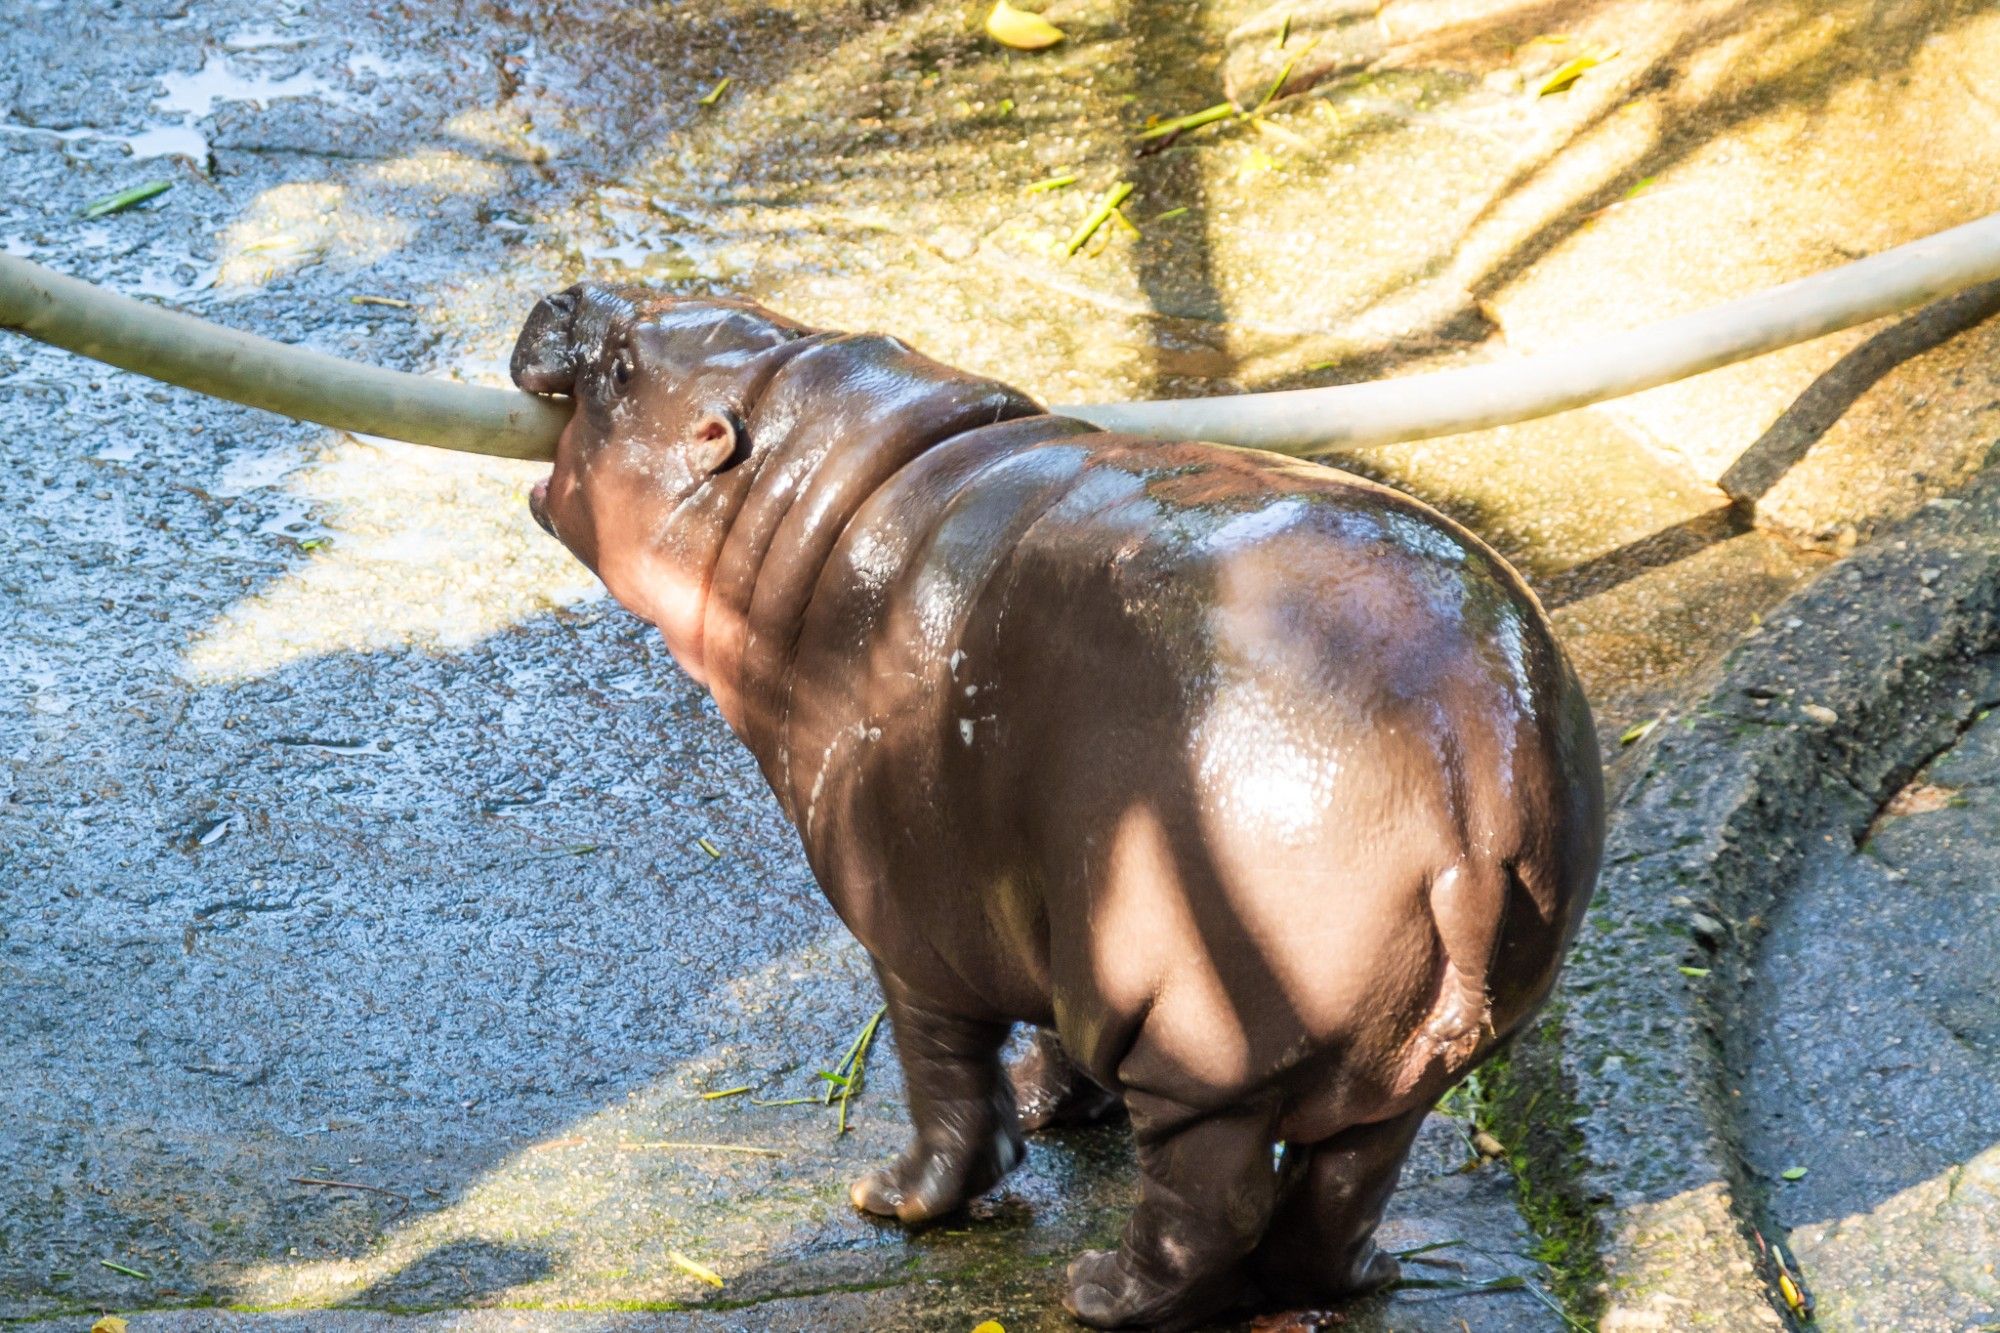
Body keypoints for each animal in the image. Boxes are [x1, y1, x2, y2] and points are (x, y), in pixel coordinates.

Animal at [516, 286, 1608, 1320]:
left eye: (623, 369)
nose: (566, 294)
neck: (821, 491)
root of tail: (1476, 781)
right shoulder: (1048, 885)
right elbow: (1050, 1028)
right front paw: (1058, 1108)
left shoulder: (912, 930)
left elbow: (948, 1084)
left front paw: (894, 1199)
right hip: (1392, 1053)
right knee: (1344, 1186)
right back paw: (1361, 1274)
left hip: (1207, 1048)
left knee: (1210, 1204)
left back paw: (1098, 1293)